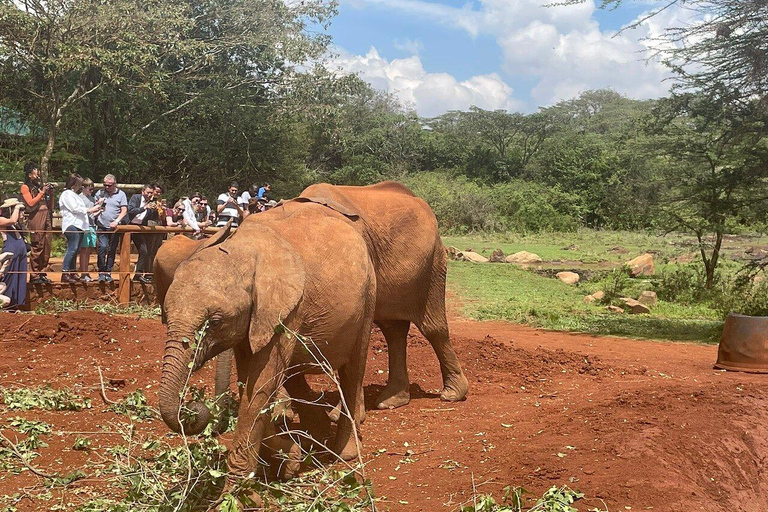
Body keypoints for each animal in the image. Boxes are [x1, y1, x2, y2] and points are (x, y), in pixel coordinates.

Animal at [160, 200, 376, 476]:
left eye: (215, 323)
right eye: (165, 316)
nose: (195, 409)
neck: (243, 249)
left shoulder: (287, 311)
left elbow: (260, 385)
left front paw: (238, 487)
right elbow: (251, 383)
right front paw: (290, 461)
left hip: (368, 297)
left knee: (353, 371)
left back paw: (344, 454)